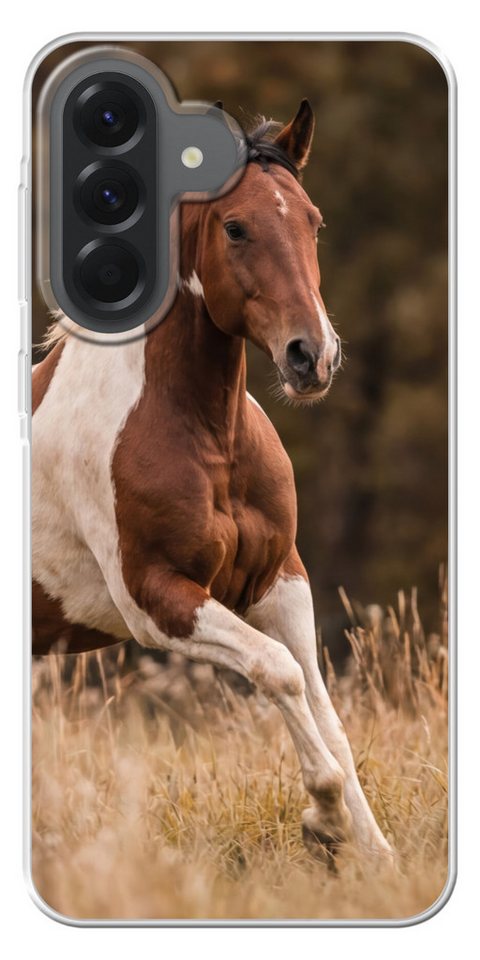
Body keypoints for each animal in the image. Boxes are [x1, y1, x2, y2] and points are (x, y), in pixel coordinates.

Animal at [32, 99, 393, 864]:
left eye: (313, 220)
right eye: (235, 227)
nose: (312, 356)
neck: (204, 436)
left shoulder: (280, 580)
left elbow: (326, 710)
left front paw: (377, 855)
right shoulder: (158, 600)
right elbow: (278, 671)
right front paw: (324, 820)